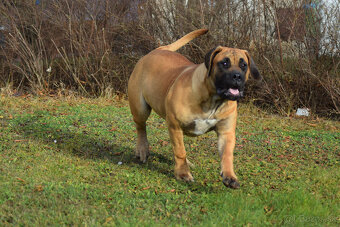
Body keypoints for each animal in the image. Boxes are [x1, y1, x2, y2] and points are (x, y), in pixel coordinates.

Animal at [127, 28, 260, 188]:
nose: (237, 76)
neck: (213, 101)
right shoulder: (175, 125)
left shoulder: (226, 132)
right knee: (141, 128)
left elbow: (227, 155)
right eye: (224, 63)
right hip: (140, 108)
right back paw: (142, 149)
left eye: (243, 65)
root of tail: (158, 50)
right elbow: (180, 151)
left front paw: (230, 176)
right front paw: (182, 174)